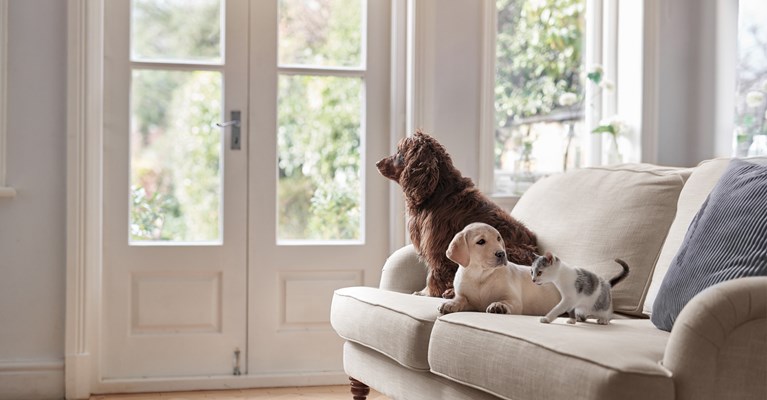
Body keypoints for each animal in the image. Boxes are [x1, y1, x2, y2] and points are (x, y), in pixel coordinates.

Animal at [376, 131, 536, 296]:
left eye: (399, 153)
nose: (377, 163)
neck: (437, 193)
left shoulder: (437, 249)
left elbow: (435, 275)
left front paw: (428, 293)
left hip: (506, 251)